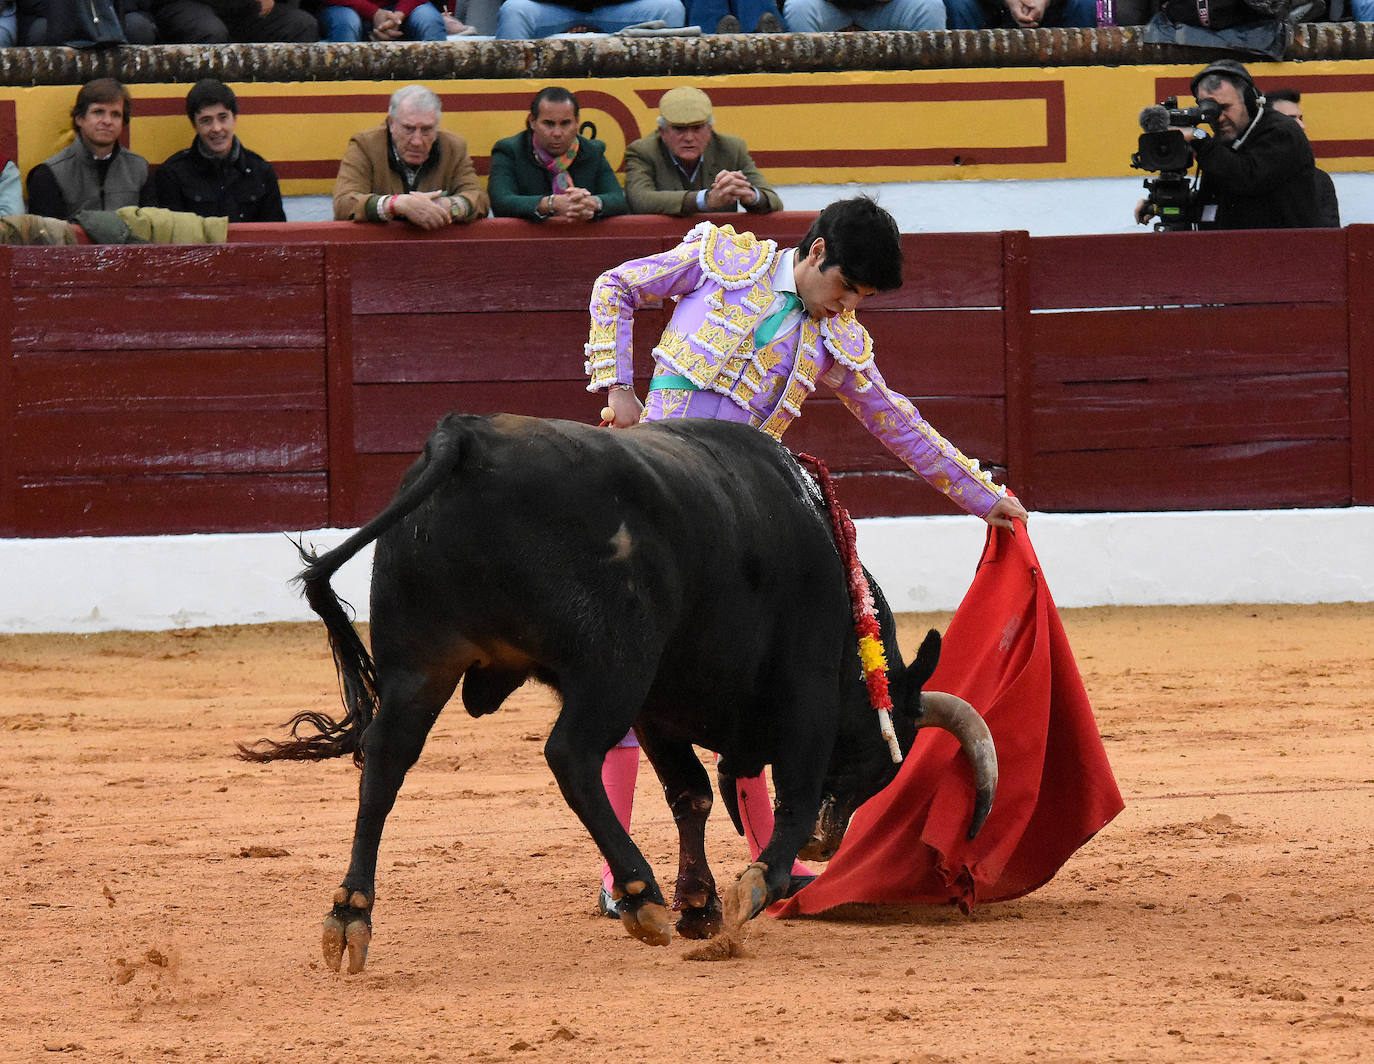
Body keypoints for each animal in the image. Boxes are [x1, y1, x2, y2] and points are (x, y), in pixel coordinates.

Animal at [239, 417, 1000, 973]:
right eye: (881, 759)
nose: (828, 842)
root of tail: (467, 437)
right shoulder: (803, 694)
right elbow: (786, 794)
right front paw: (753, 888)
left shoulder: (658, 705)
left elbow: (691, 793)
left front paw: (701, 906)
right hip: (611, 665)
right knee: (570, 754)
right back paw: (640, 896)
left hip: (421, 664)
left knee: (385, 765)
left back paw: (349, 916)